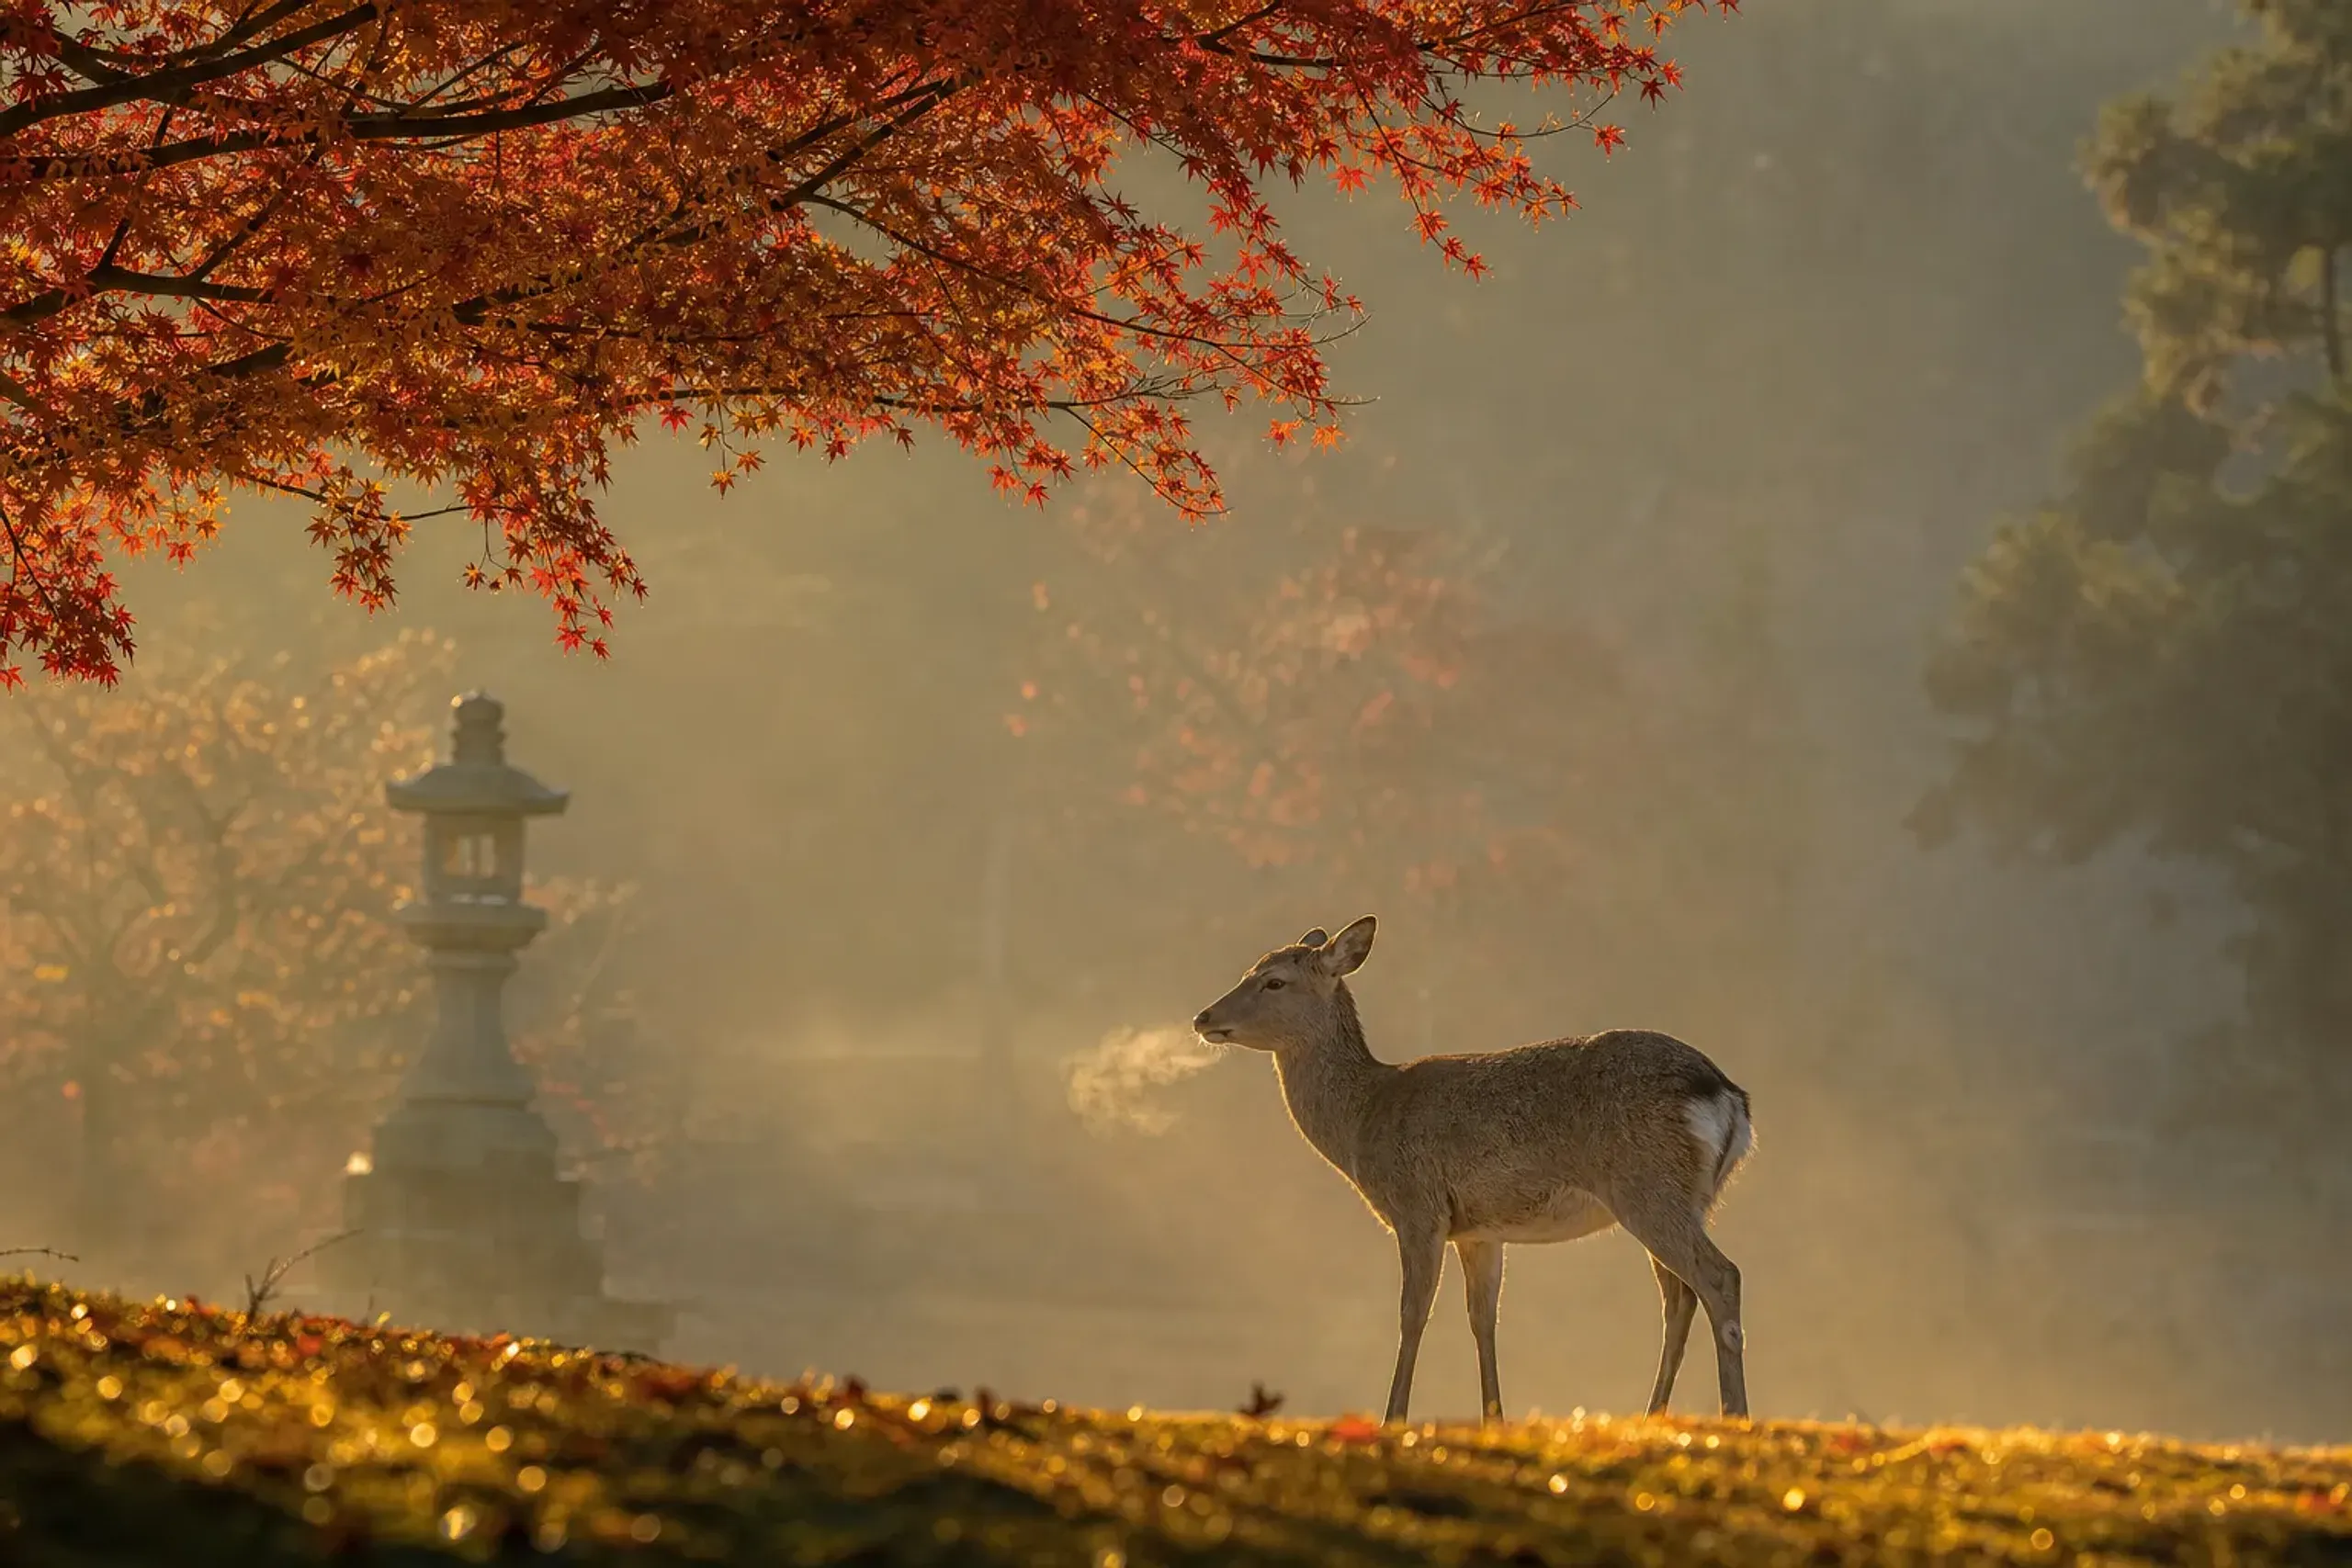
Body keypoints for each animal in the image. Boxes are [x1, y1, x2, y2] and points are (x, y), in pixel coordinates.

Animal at [1191, 915, 1752, 1427]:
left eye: (1274, 981)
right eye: (1250, 969)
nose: (1202, 1017)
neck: (1364, 1119)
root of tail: (1727, 1096)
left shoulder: (1418, 1207)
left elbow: (1413, 1312)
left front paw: (1393, 1419)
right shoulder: (1479, 1230)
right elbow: (1483, 1319)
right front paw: (1493, 1419)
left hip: (1648, 1187)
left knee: (1719, 1276)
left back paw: (1735, 1415)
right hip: (1685, 1197)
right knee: (1679, 1297)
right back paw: (1653, 1416)